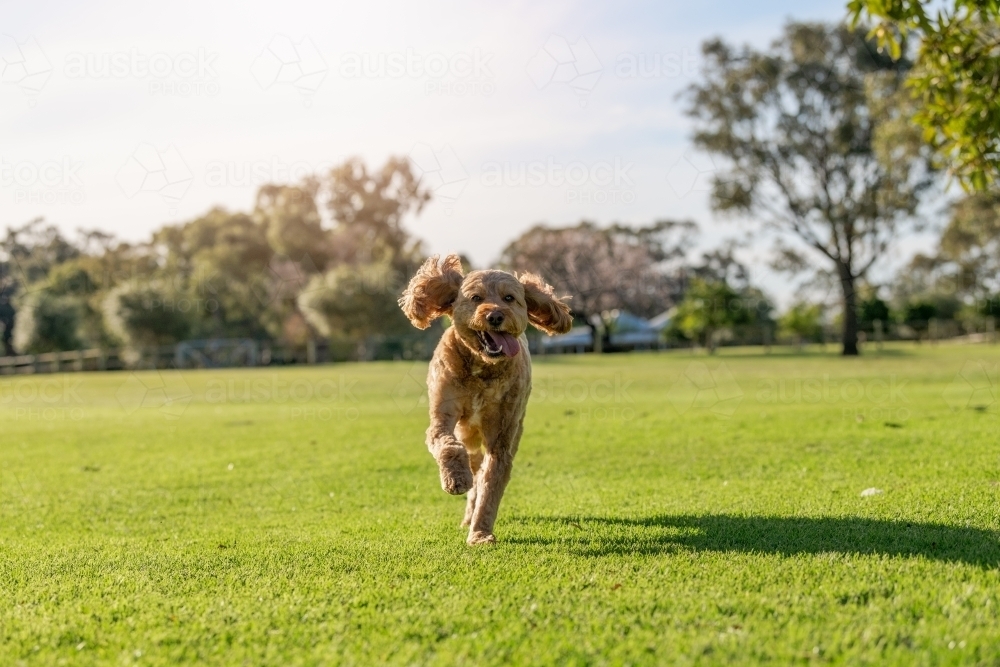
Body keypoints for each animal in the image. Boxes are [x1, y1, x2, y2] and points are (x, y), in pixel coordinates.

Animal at [396, 253, 572, 544]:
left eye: (509, 298)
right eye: (476, 297)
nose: (495, 315)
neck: (482, 367)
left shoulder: (501, 437)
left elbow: (491, 484)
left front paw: (480, 534)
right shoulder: (442, 417)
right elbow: (447, 445)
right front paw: (455, 480)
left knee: (480, 476)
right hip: (466, 432)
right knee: (470, 460)